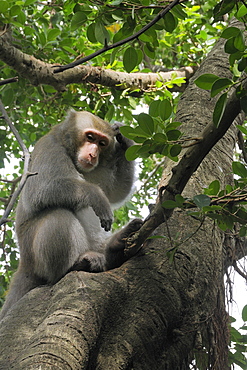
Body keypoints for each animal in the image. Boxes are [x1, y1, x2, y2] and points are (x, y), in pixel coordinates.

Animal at [0, 110, 142, 320]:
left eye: (102, 143)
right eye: (90, 137)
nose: (92, 154)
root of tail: (24, 262)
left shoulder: (96, 167)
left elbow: (116, 191)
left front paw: (124, 137)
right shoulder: (49, 148)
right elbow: (41, 189)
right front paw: (96, 195)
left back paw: (115, 246)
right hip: (33, 252)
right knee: (58, 214)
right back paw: (71, 266)